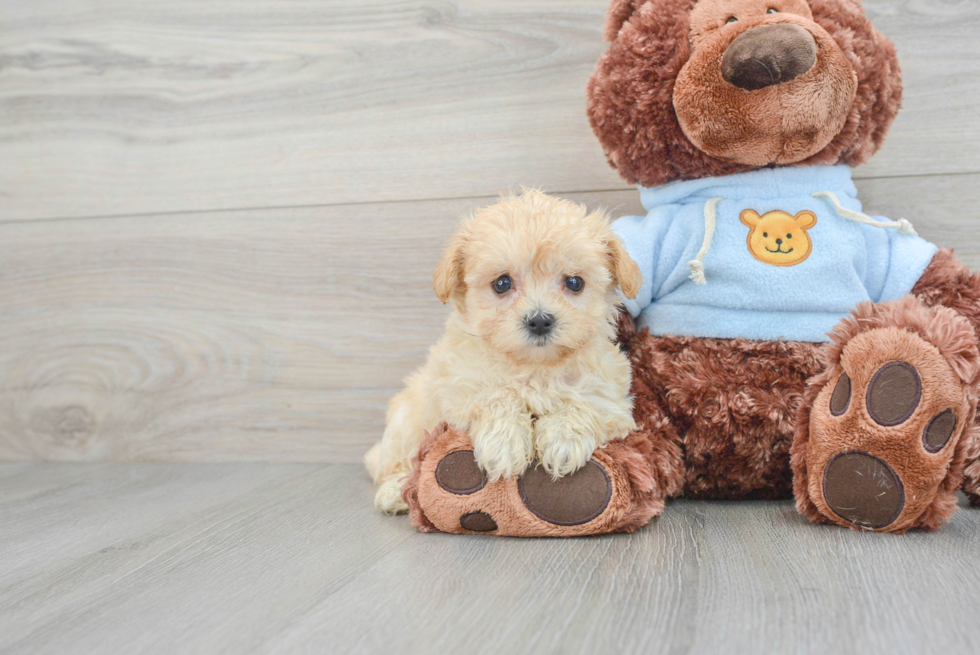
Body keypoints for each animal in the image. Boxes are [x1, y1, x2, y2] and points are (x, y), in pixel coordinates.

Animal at [364, 192, 640, 516]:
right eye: (502, 283)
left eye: (574, 282)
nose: (540, 320)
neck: (535, 367)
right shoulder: (460, 386)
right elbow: (495, 395)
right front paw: (504, 445)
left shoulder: (612, 397)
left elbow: (585, 402)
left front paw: (562, 440)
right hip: (408, 421)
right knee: (395, 462)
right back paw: (394, 493)